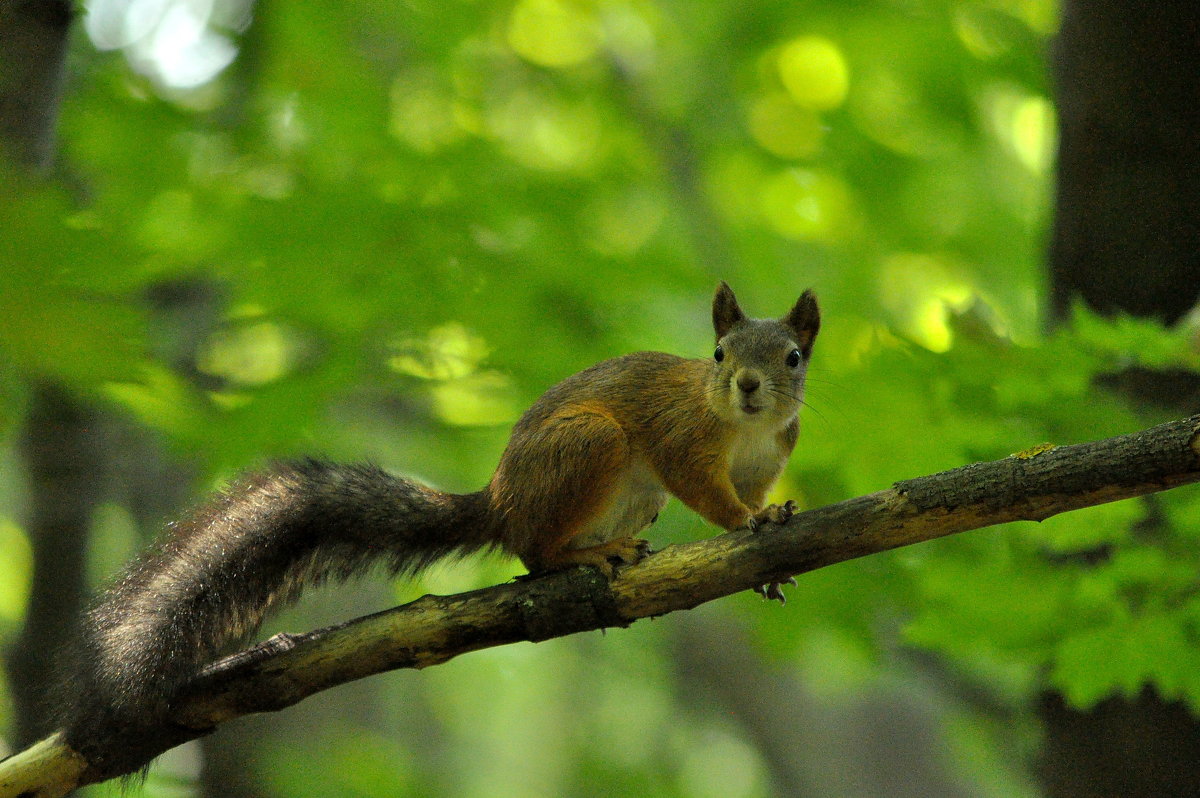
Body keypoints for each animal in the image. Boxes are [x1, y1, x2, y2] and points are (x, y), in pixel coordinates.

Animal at [54, 278, 816, 772]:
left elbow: (755, 491)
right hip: (587, 446)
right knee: (536, 554)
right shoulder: (682, 441)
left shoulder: (770, 456)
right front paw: (748, 520)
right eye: (719, 354)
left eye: (793, 358)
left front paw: (769, 530)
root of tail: (501, 500)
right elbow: (706, 491)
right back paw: (587, 556)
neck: (742, 426)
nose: (748, 386)